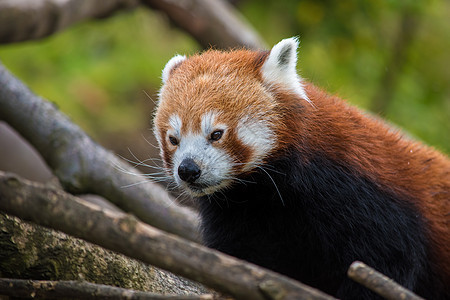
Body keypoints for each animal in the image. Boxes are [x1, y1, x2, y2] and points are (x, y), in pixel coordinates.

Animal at [153, 38, 448, 298]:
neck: (264, 194)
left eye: (216, 134)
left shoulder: (371, 205)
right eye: (173, 139)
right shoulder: (238, 216)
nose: (188, 170)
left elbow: (384, 264)